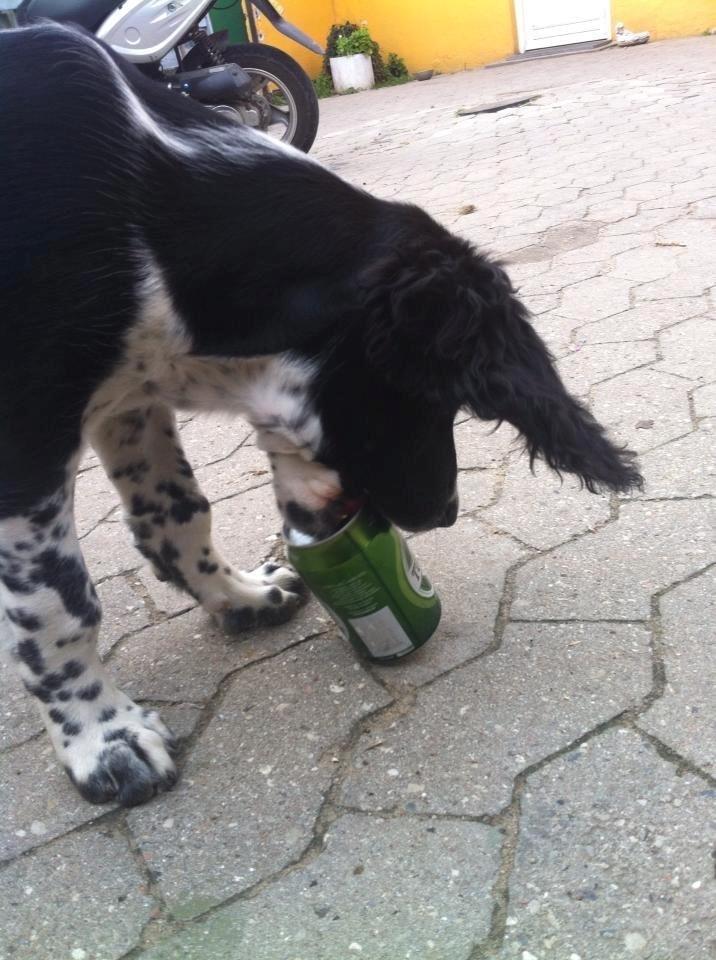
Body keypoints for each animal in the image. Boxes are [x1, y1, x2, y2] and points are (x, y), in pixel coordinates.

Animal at [0, 22, 644, 808]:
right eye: (435, 399)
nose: (446, 513)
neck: (151, 223)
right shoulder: (26, 441)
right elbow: (59, 604)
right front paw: (103, 738)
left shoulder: (127, 394)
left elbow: (178, 514)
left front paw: (240, 596)